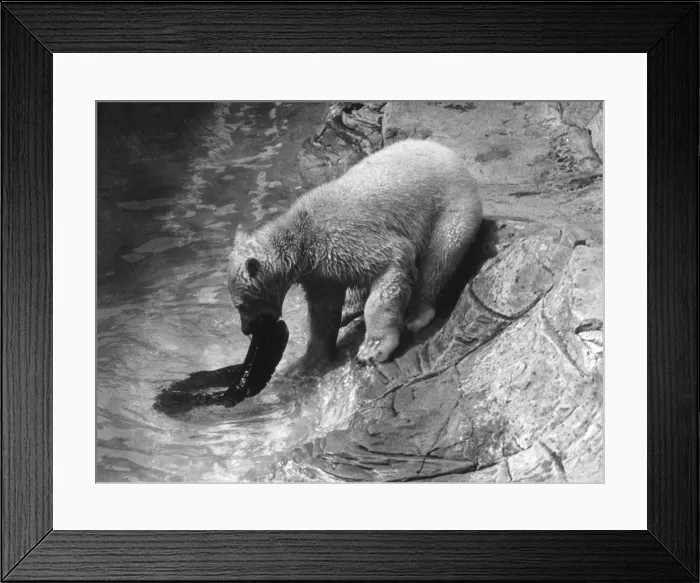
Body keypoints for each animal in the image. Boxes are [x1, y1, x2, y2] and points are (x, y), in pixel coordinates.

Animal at [227, 139, 482, 370]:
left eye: (242, 305)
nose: (245, 329)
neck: (302, 236)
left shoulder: (344, 239)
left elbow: (394, 262)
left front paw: (372, 350)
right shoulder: (320, 272)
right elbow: (323, 311)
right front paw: (314, 357)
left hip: (450, 207)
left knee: (440, 258)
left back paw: (416, 314)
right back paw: (350, 309)